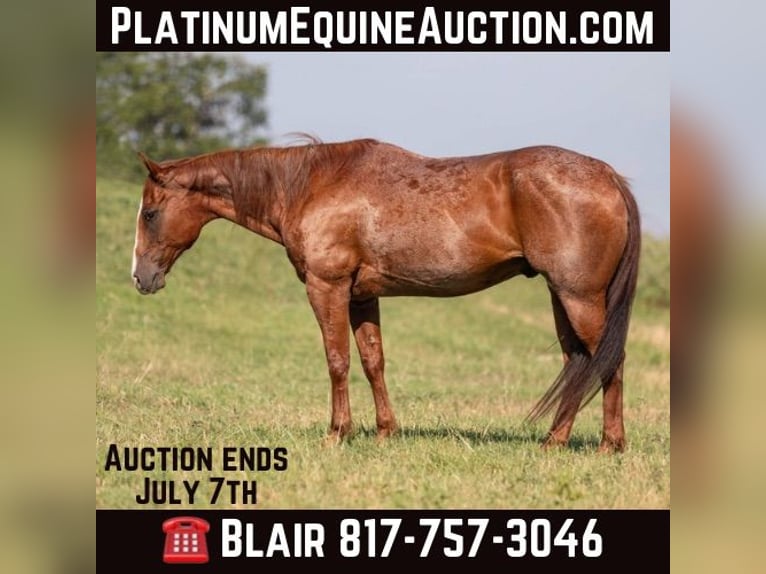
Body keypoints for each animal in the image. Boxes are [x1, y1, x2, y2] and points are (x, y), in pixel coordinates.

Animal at [131, 137, 640, 452]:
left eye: (151, 214)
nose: (141, 277)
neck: (310, 185)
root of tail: (608, 176)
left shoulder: (327, 288)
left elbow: (337, 361)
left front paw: (337, 433)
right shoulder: (361, 297)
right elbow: (372, 361)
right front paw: (383, 432)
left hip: (579, 297)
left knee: (607, 360)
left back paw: (609, 444)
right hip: (562, 296)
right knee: (578, 362)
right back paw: (555, 441)